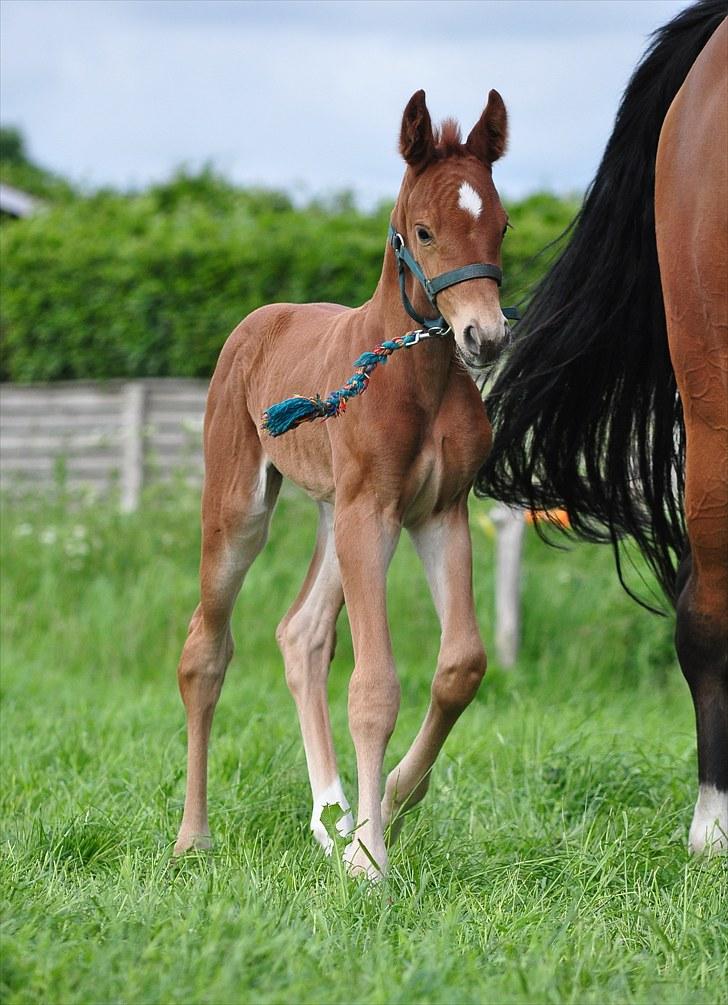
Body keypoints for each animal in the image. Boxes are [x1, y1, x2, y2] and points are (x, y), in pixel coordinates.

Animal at [173, 94, 508, 880]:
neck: (416, 374)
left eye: (503, 225)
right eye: (425, 230)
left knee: (300, 633)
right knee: (205, 649)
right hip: (248, 511)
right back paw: (194, 837)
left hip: (336, 516)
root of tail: (262, 317)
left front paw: (388, 802)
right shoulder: (374, 511)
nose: (486, 338)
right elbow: (375, 684)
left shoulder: (438, 514)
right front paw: (370, 859)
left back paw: (333, 814)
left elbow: (461, 665)